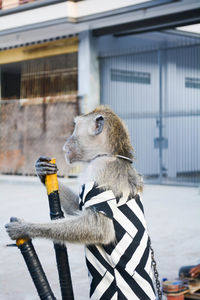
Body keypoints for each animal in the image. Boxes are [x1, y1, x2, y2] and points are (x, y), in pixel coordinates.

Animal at [5, 106, 156, 300]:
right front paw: (42, 171)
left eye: (75, 127)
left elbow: (97, 228)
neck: (109, 154)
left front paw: (24, 228)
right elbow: (77, 208)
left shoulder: (99, 170)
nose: (67, 140)